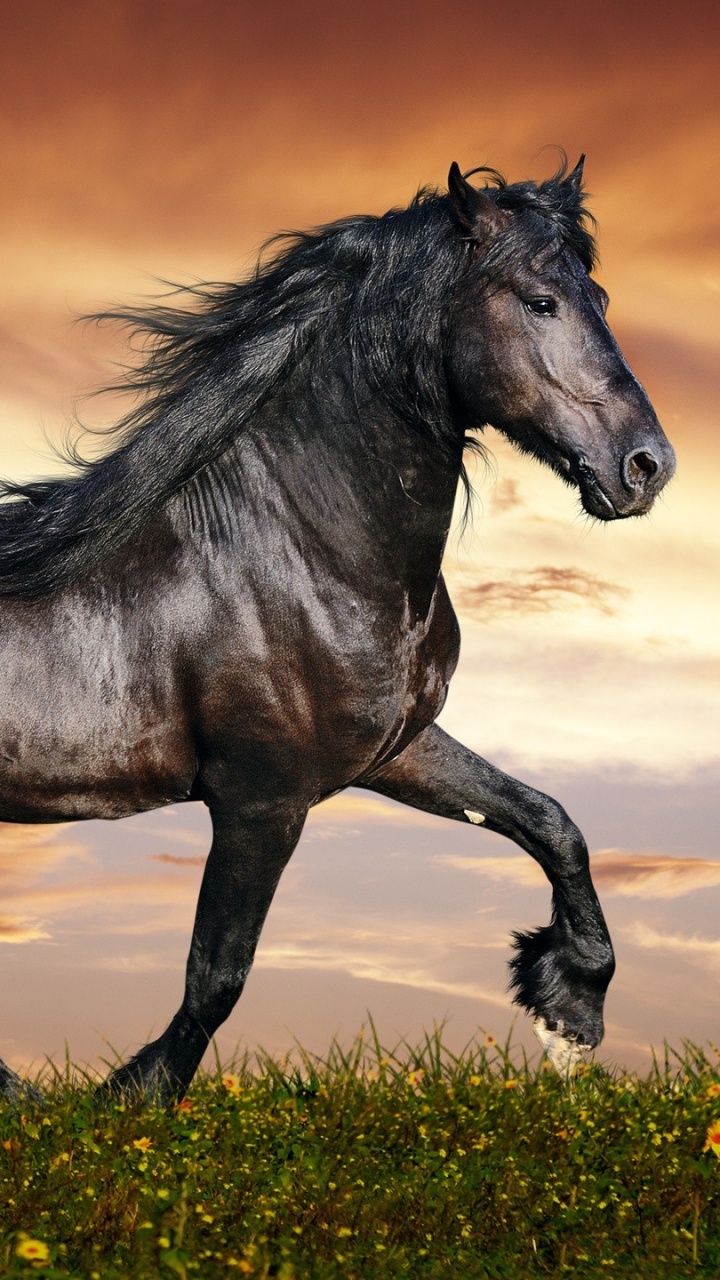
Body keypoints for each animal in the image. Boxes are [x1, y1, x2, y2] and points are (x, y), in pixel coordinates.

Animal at [0, 157, 675, 1102]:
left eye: (602, 297)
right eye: (541, 301)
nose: (647, 466)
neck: (297, 550)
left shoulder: (395, 750)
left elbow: (549, 820)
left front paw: (569, 1008)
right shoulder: (261, 798)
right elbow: (218, 976)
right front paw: (131, 1098)